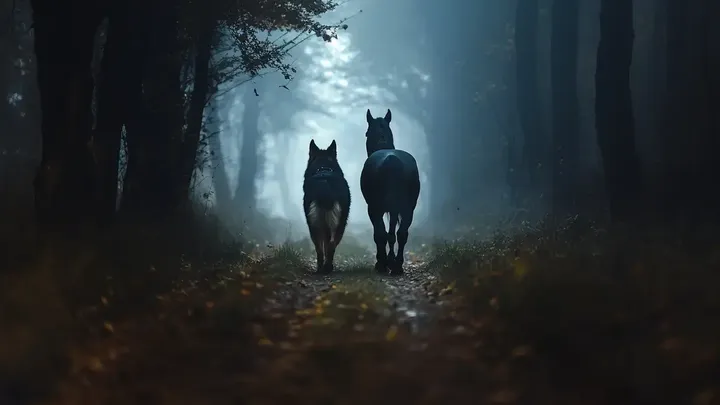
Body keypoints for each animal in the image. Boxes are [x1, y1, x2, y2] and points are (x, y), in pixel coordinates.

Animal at [302, 139, 351, 274]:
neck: (324, 168)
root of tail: (325, 185)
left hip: (317, 225)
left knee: (324, 247)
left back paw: (323, 268)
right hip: (336, 224)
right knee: (329, 245)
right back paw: (325, 267)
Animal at [360, 109, 421, 275]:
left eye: (366, 133)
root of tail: (392, 160)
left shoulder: (373, 208)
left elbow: (380, 234)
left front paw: (383, 261)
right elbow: (392, 233)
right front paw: (391, 260)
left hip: (376, 207)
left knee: (381, 234)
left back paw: (383, 264)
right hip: (408, 208)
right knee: (401, 233)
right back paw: (397, 266)